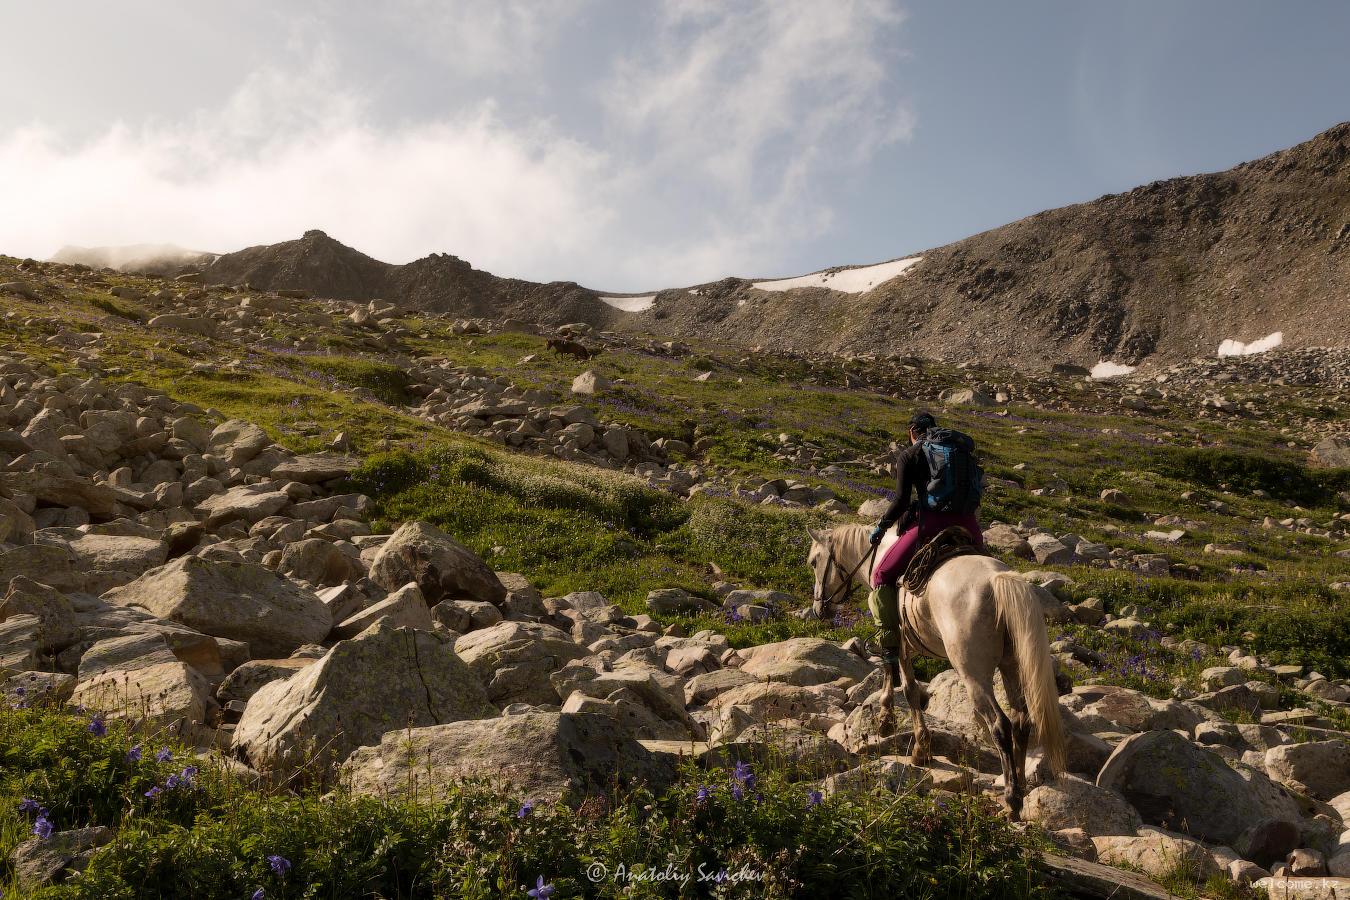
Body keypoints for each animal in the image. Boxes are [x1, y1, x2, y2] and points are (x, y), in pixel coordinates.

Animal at [804, 520, 1058, 825]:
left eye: (814, 561)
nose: (819, 608)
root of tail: (998, 580)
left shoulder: (899, 640)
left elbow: (906, 686)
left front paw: (908, 739)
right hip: (1011, 667)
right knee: (1022, 721)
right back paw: (1019, 786)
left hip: (974, 674)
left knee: (1001, 725)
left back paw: (1012, 800)